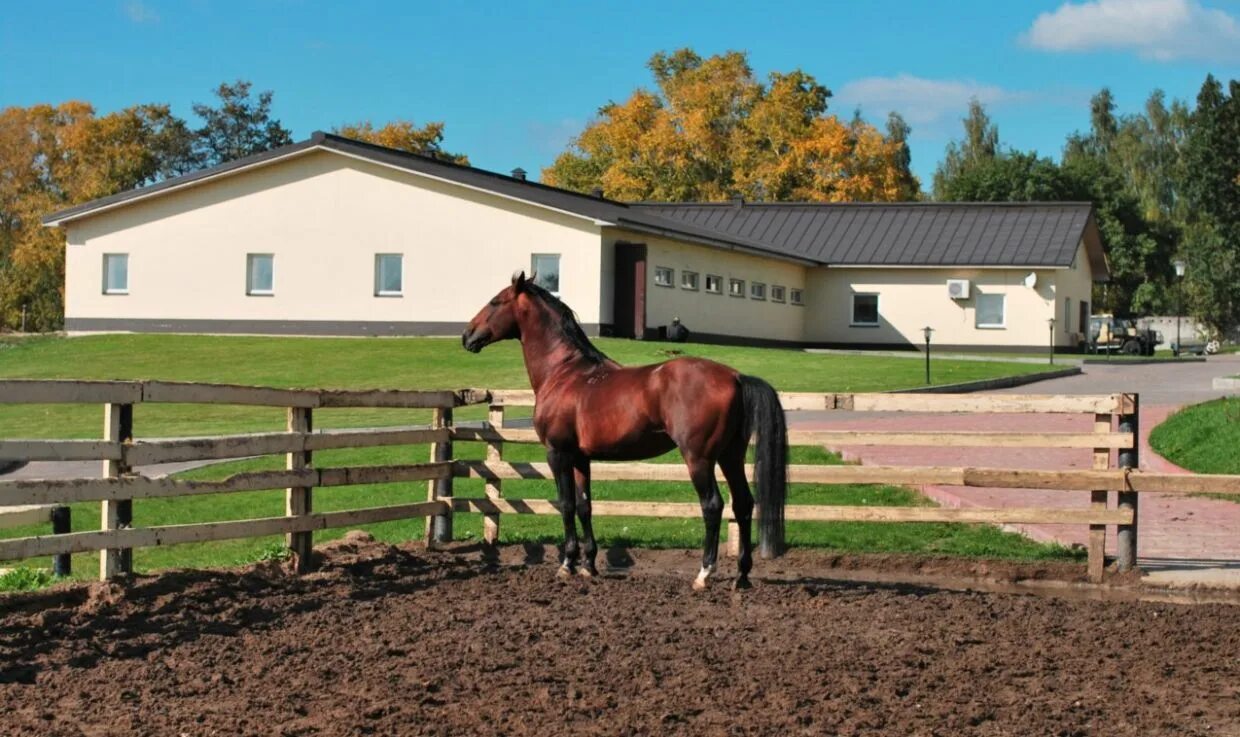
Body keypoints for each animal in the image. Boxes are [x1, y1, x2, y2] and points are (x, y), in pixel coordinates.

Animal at [466, 272, 783, 588]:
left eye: (495, 302)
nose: (467, 335)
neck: (564, 373)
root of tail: (736, 377)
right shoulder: (580, 458)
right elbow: (584, 506)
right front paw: (588, 565)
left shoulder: (558, 454)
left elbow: (566, 504)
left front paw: (567, 564)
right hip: (731, 456)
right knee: (743, 504)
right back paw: (742, 575)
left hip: (699, 459)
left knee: (713, 505)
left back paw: (704, 574)